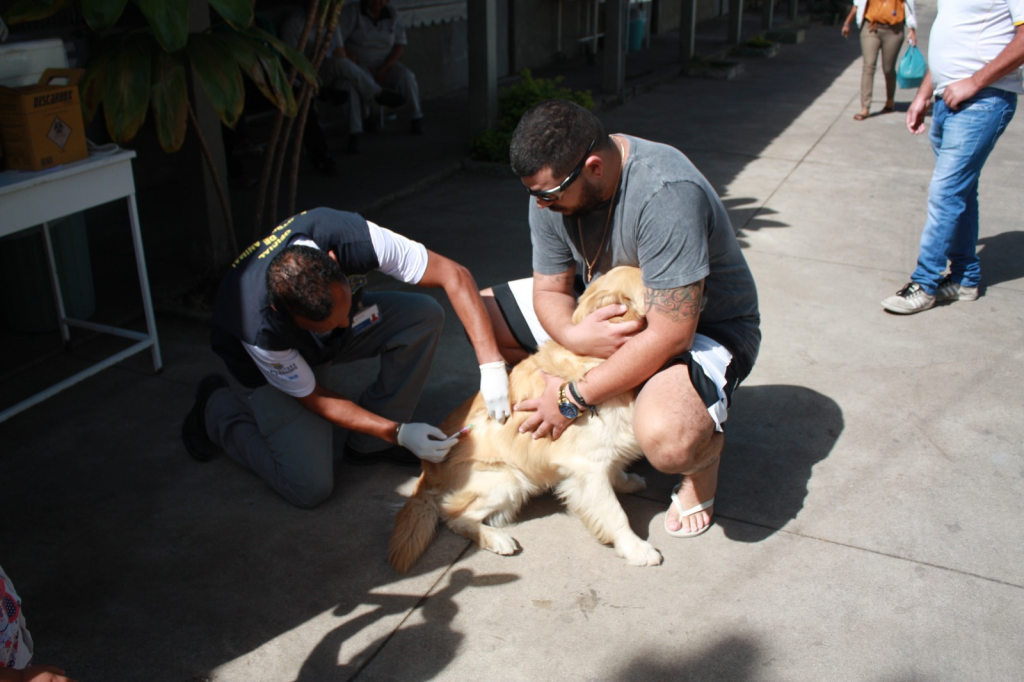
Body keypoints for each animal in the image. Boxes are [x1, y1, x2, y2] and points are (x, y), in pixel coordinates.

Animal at [387, 262, 659, 569]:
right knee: (453, 514)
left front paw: (626, 481)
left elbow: (615, 470)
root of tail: (428, 471)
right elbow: (613, 512)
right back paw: (496, 539)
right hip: (508, 479)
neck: (596, 362)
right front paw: (635, 548)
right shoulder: (587, 465)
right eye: (650, 284)